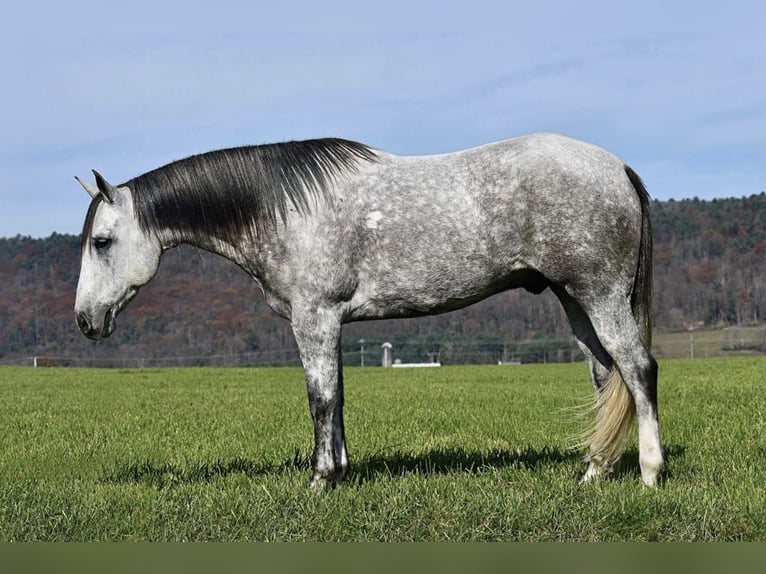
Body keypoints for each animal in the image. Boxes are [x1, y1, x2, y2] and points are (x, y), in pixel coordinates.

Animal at [75, 135, 664, 490]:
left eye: (102, 242)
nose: (85, 321)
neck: (283, 208)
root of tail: (618, 168)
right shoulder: (332, 323)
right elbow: (336, 397)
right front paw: (340, 472)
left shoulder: (314, 319)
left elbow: (319, 399)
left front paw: (319, 480)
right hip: (575, 301)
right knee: (605, 376)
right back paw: (594, 473)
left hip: (600, 296)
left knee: (639, 370)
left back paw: (648, 472)